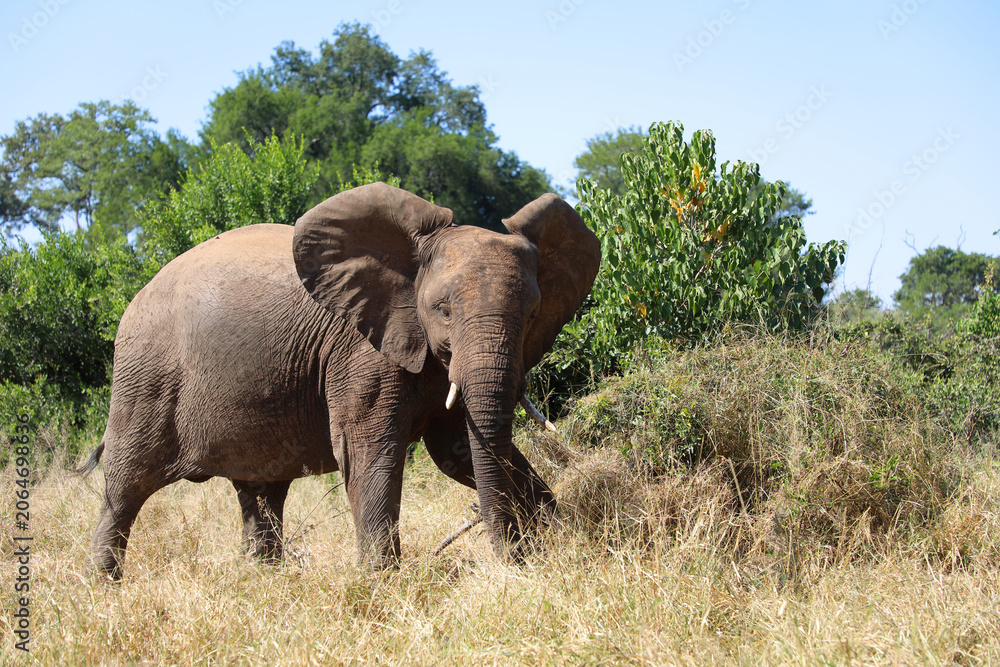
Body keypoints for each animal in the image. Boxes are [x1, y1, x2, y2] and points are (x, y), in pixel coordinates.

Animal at [78, 182, 601, 579]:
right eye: (443, 310)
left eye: (532, 315)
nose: (513, 558)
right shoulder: (361, 352)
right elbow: (370, 449)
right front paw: (382, 583)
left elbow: (456, 452)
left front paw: (557, 536)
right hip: (144, 377)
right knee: (126, 487)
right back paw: (103, 589)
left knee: (260, 493)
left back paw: (263, 581)